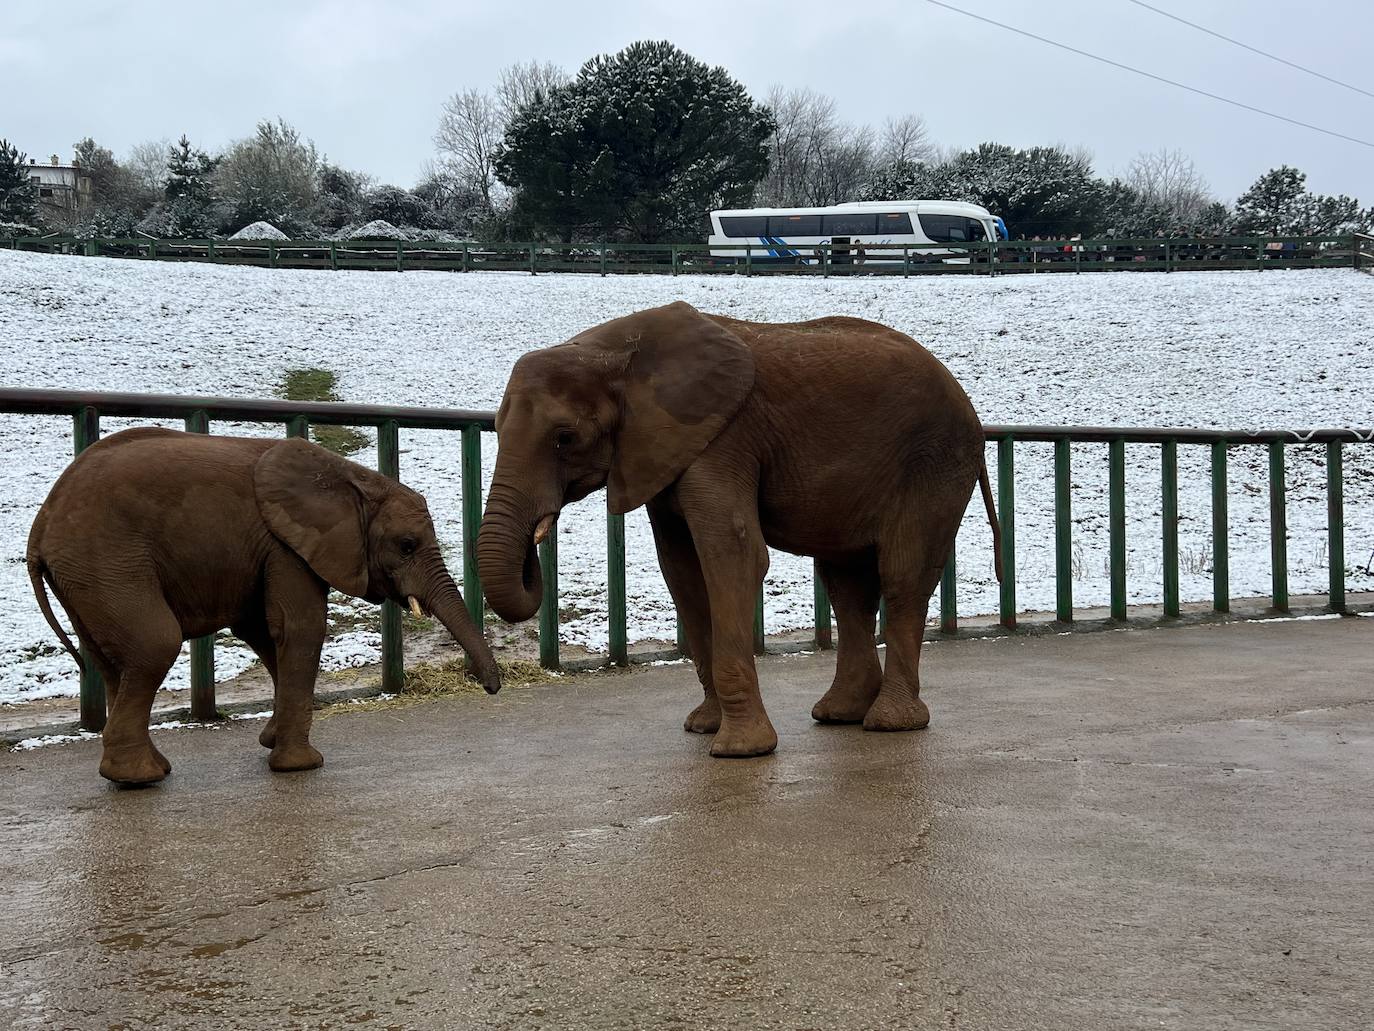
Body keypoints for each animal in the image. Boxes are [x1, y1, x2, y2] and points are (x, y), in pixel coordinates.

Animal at [28, 426, 500, 780]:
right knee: (155, 643)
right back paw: (138, 777)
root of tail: (41, 526)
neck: (352, 479)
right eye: (406, 545)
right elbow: (300, 627)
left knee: (113, 661)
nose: (492, 688)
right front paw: (301, 766)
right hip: (106, 559)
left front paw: (271, 743)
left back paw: (143, 770)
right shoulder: (286, 547)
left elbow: (262, 632)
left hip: (88, 574)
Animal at [475, 298, 1000, 758]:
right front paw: (703, 726)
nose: (536, 538)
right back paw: (840, 714)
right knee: (846, 583)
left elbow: (733, 557)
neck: (613, 353)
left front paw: (739, 750)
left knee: (902, 575)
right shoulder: (663, 453)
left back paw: (891, 722)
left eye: (565, 438)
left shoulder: (721, 440)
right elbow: (682, 572)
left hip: (936, 463)